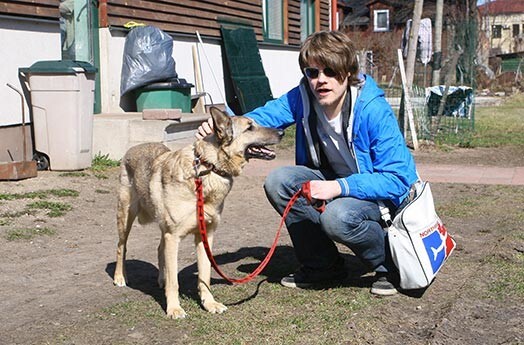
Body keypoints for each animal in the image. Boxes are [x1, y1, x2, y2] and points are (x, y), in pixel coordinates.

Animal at [113, 107, 284, 318]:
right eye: (250, 127)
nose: (282, 132)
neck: (208, 169)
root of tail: (133, 148)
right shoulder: (173, 236)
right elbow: (175, 282)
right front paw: (174, 308)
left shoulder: (205, 236)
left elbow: (205, 276)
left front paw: (209, 303)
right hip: (126, 217)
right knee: (121, 247)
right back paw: (120, 277)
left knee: (159, 249)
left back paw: (161, 279)